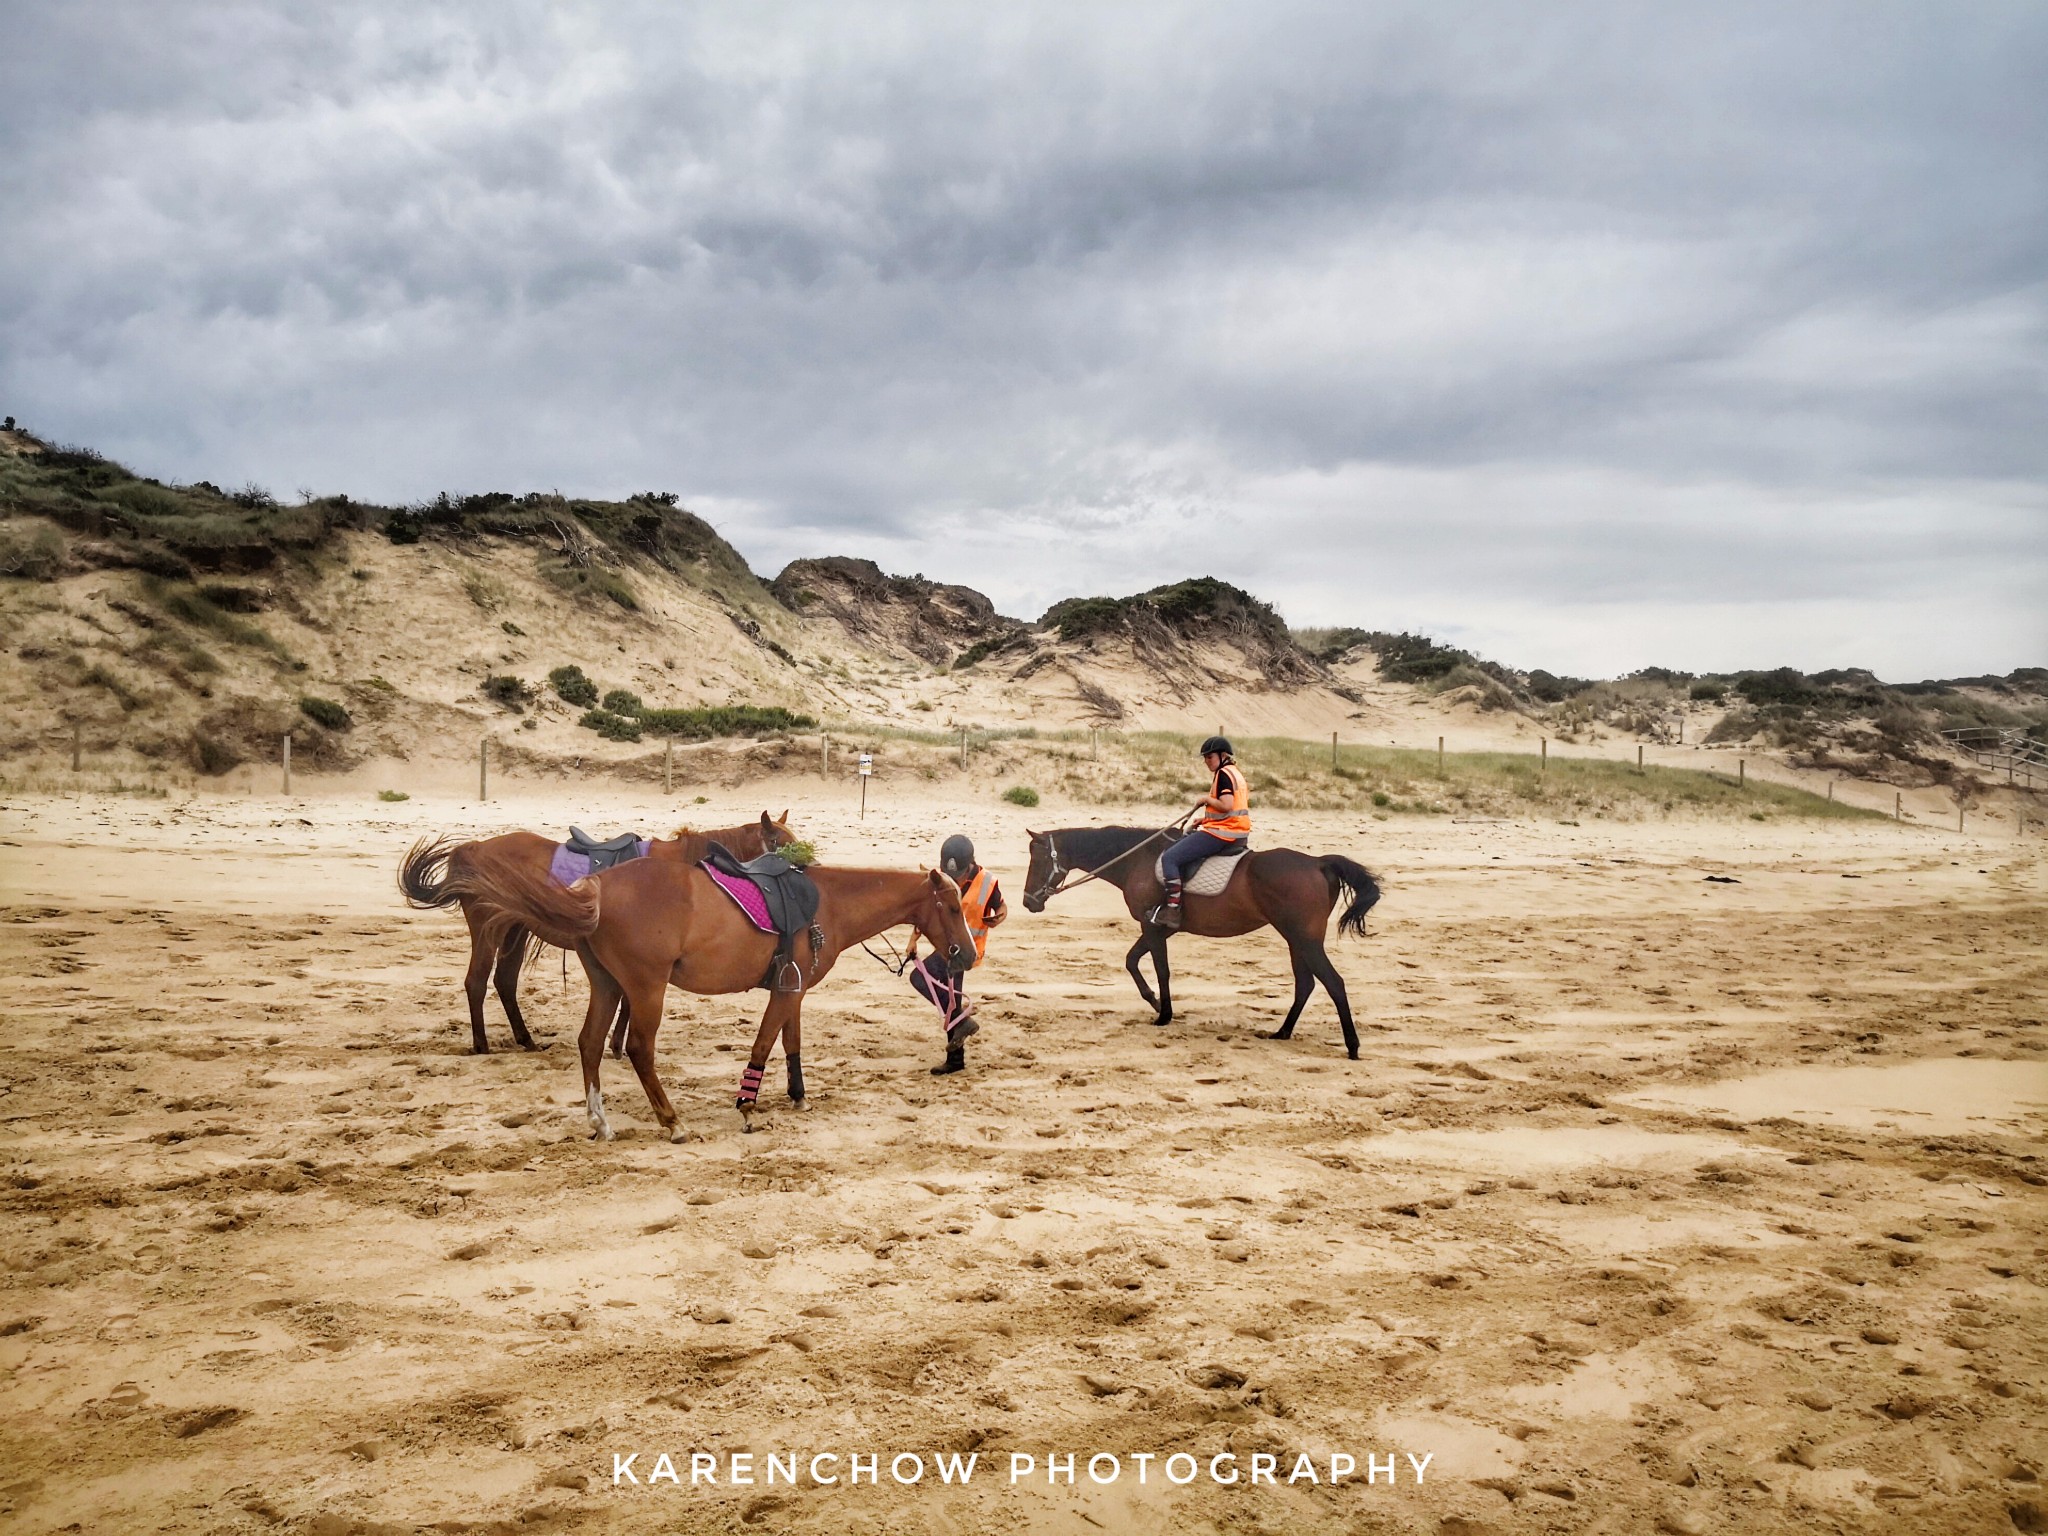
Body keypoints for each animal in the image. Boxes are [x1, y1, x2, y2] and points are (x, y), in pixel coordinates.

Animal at [399, 811, 790, 1056]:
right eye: (779, 844)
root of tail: (473, 849)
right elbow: (630, 1002)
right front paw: (618, 1045)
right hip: (486, 929)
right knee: (477, 982)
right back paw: (481, 1045)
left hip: (514, 931)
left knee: (504, 981)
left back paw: (525, 1039)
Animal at [432, 856, 974, 1146]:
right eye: (951, 907)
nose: (967, 953)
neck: (826, 902)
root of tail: (598, 887)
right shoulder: (785, 992)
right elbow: (763, 1045)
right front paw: (747, 1107)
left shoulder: (792, 990)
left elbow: (790, 1044)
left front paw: (797, 1095)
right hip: (645, 990)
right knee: (638, 1049)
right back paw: (671, 1122)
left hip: (607, 986)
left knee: (589, 1044)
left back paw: (600, 1121)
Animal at [1019, 831, 1376, 1056]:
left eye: (1038, 860)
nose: (1027, 902)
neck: (1138, 859)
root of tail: (1318, 862)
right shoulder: (1159, 928)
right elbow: (1132, 961)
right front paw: (1153, 1001)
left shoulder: (1152, 928)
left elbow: (1160, 970)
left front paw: (1163, 1014)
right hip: (1296, 940)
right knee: (1305, 984)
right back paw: (1283, 1032)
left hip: (1304, 939)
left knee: (1333, 983)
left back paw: (1352, 1045)